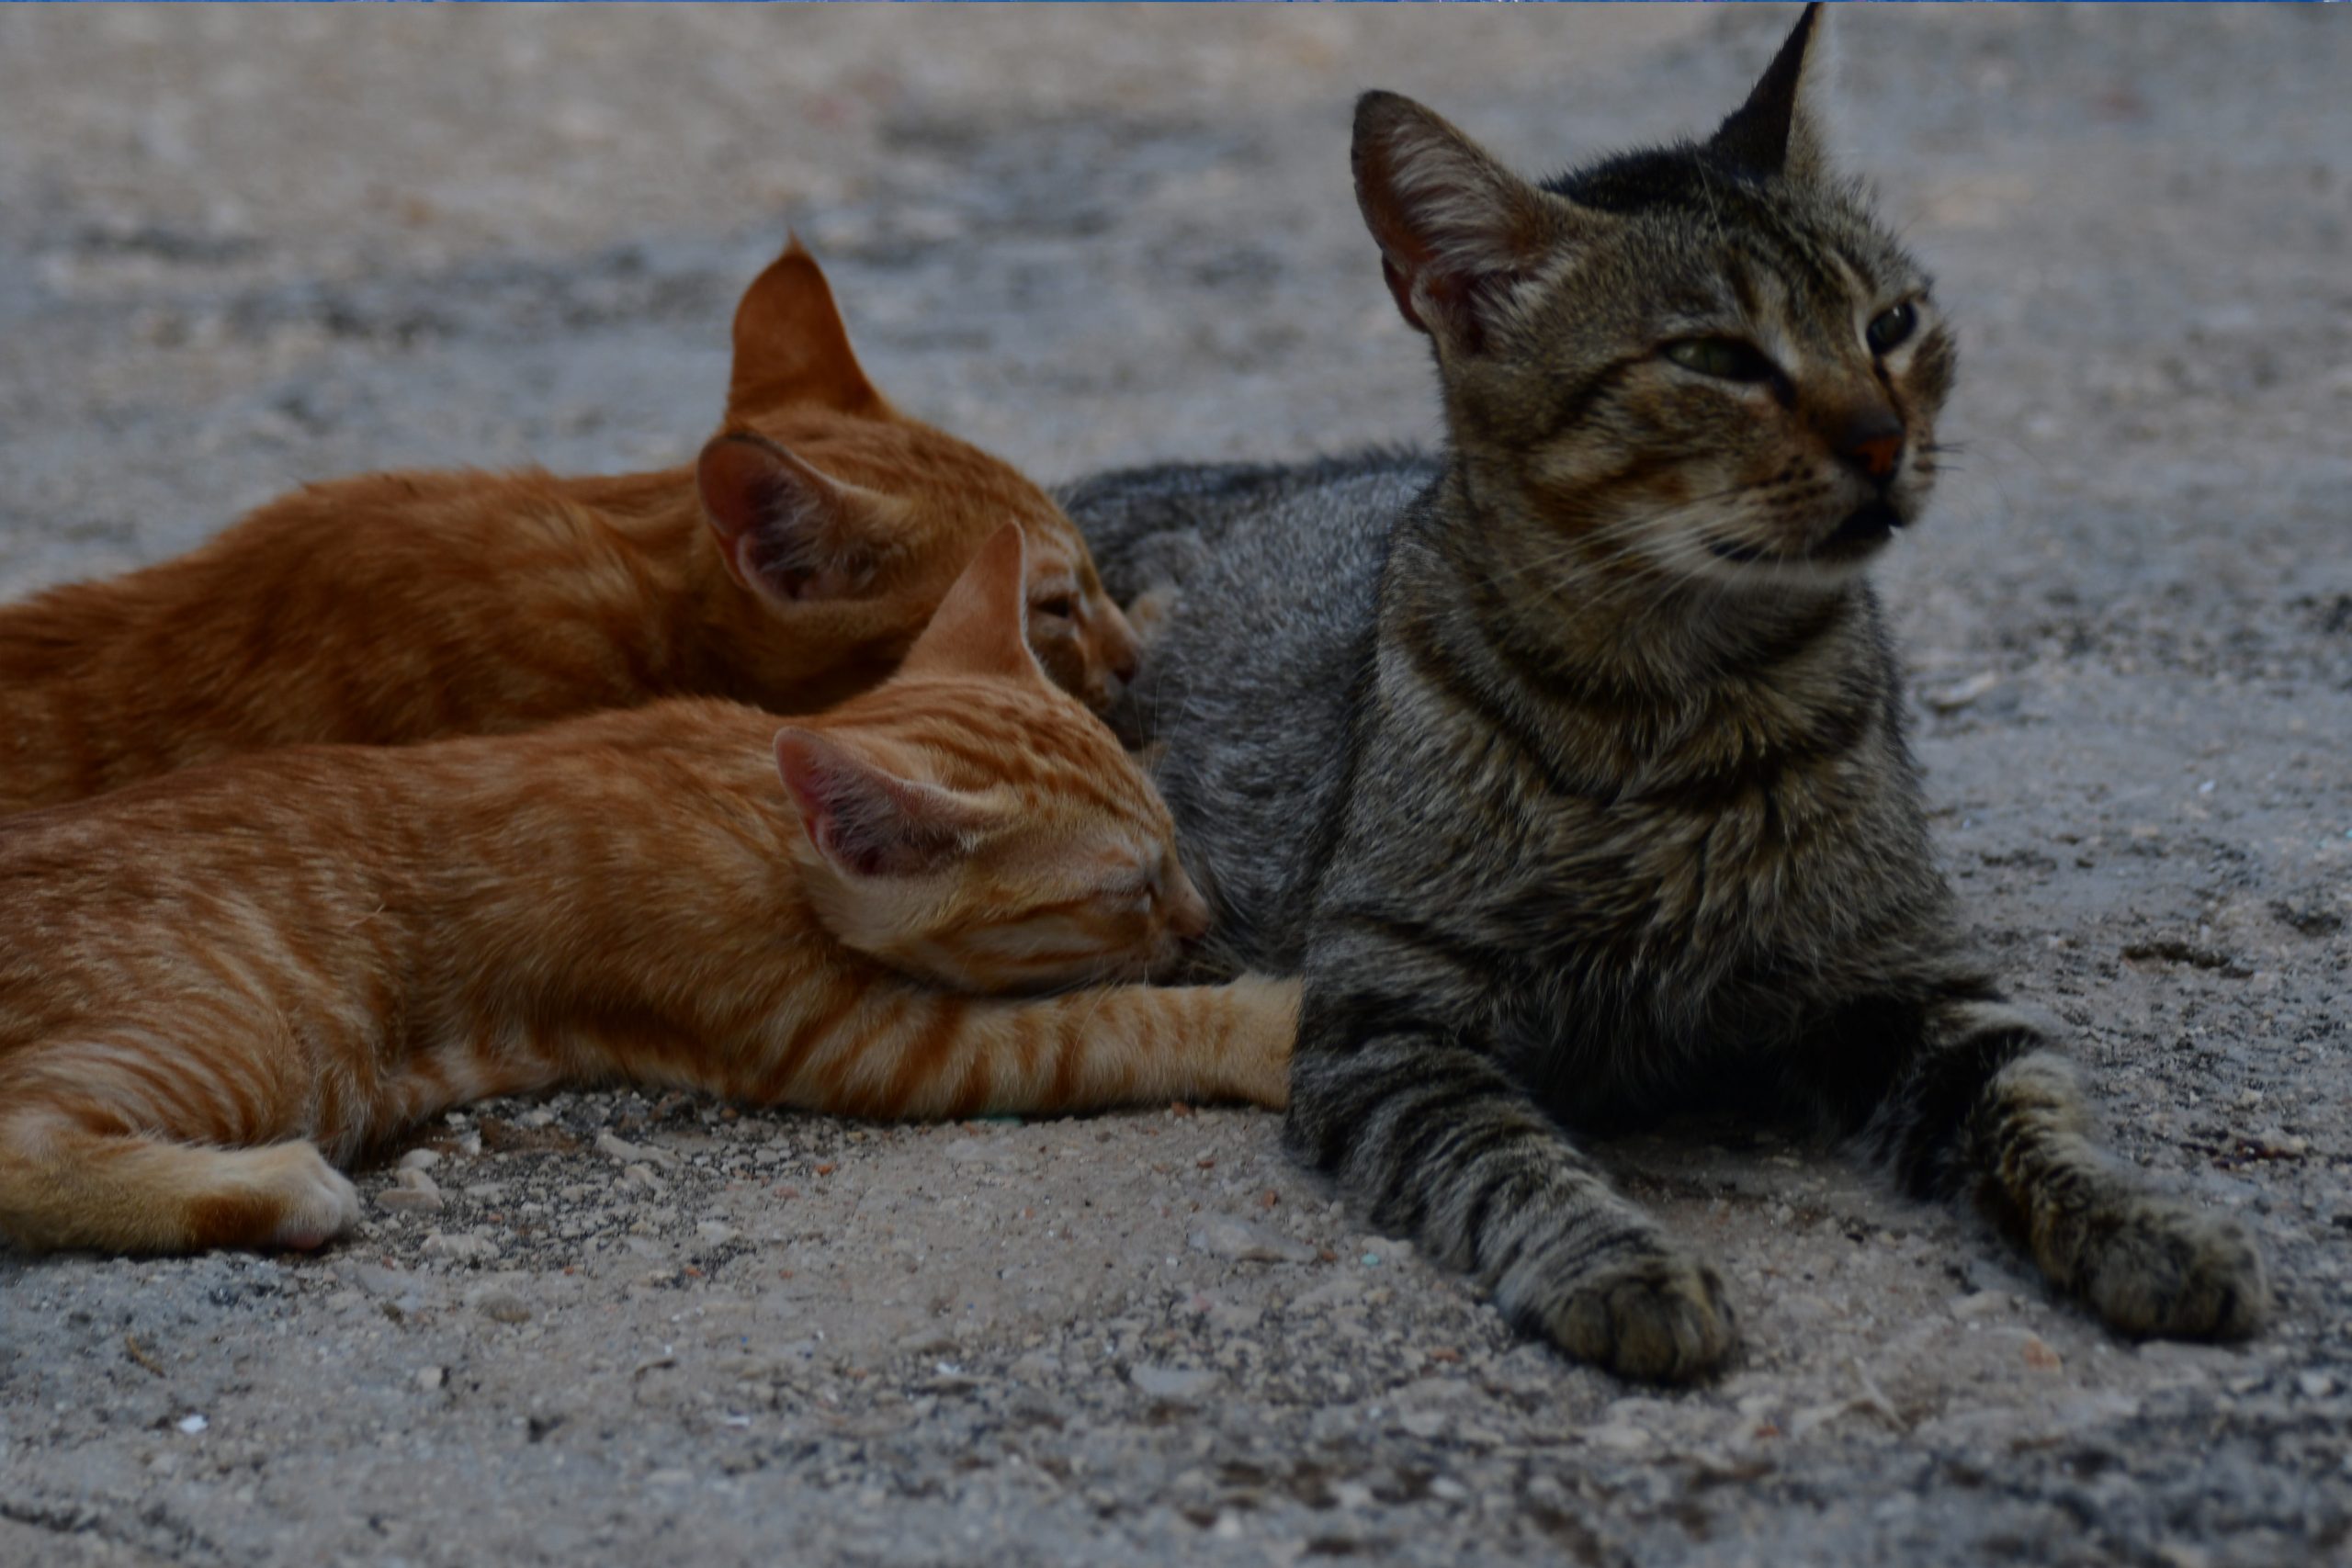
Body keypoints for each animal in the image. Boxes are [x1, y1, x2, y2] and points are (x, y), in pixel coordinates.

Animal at [0, 533, 1288, 1259]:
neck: (756, 812)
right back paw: (270, 1188)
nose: (1194, 920)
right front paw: (1267, 1027)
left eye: (1175, 853)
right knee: (22, 1142)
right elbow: (1103, 1029)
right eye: (1127, 890)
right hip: (256, 1029)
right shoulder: (867, 1043)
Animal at [1068, 12, 2257, 1382]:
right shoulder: (1388, 1023)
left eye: (1891, 324)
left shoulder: (1908, 976)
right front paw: (1618, 1260)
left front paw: (2144, 1219)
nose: (1882, 439)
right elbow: (1505, 1158)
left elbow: (2035, 1107)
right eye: (1712, 358)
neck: (1680, 694)